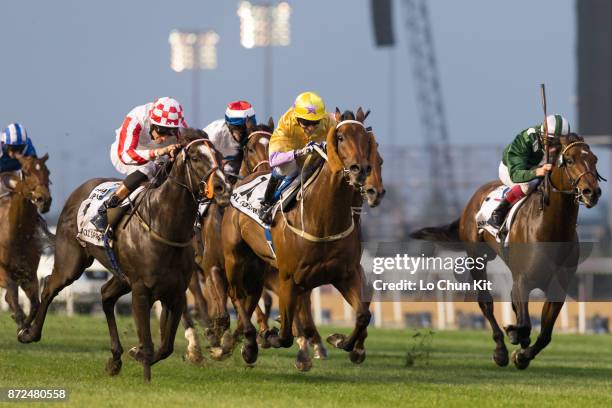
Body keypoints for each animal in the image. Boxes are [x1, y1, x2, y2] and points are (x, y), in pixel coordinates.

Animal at [0, 155, 51, 330]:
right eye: (26, 172)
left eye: (47, 171)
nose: (44, 199)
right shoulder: (3, 271)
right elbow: (13, 295)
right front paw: (20, 322)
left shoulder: (28, 274)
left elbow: (35, 304)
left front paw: (24, 329)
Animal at [17, 131, 232, 382]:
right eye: (196, 157)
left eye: (218, 156)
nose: (223, 187)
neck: (164, 225)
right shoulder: (141, 290)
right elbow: (149, 344)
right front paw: (145, 375)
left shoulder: (176, 293)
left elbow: (165, 347)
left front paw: (135, 353)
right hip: (72, 262)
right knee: (50, 286)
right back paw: (28, 332)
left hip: (121, 276)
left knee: (105, 295)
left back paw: (115, 358)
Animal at [218, 107, 376, 370]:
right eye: (340, 137)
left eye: (368, 140)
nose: (360, 169)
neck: (323, 219)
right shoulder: (289, 278)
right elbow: (284, 334)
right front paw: (272, 336)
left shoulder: (346, 273)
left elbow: (363, 315)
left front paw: (342, 341)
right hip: (235, 257)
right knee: (235, 294)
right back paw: (248, 342)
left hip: (257, 265)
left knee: (250, 297)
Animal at [412, 134, 604, 370]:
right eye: (569, 160)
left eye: (594, 159)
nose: (591, 192)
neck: (550, 227)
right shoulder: (523, 280)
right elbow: (525, 323)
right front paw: (515, 339)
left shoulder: (558, 286)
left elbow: (544, 334)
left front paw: (522, 355)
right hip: (477, 257)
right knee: (486, 303)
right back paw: (501, 350)